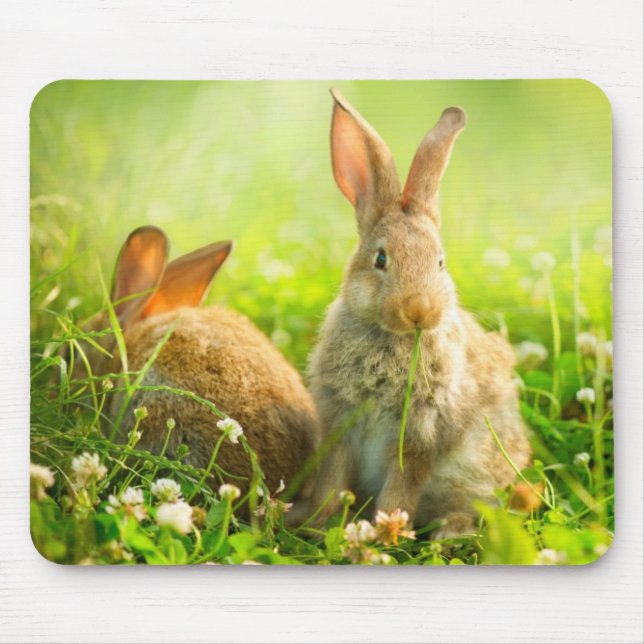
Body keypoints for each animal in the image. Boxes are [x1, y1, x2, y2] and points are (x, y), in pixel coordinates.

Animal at [307, 88, 531, 537]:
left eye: (440, 263)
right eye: (380, 259)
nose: (420, 309)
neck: (393, 339)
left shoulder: (422, 435)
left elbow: (401, 488)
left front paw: (386, 532)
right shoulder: (339, 422)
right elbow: (332, 479)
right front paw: (319, 523)